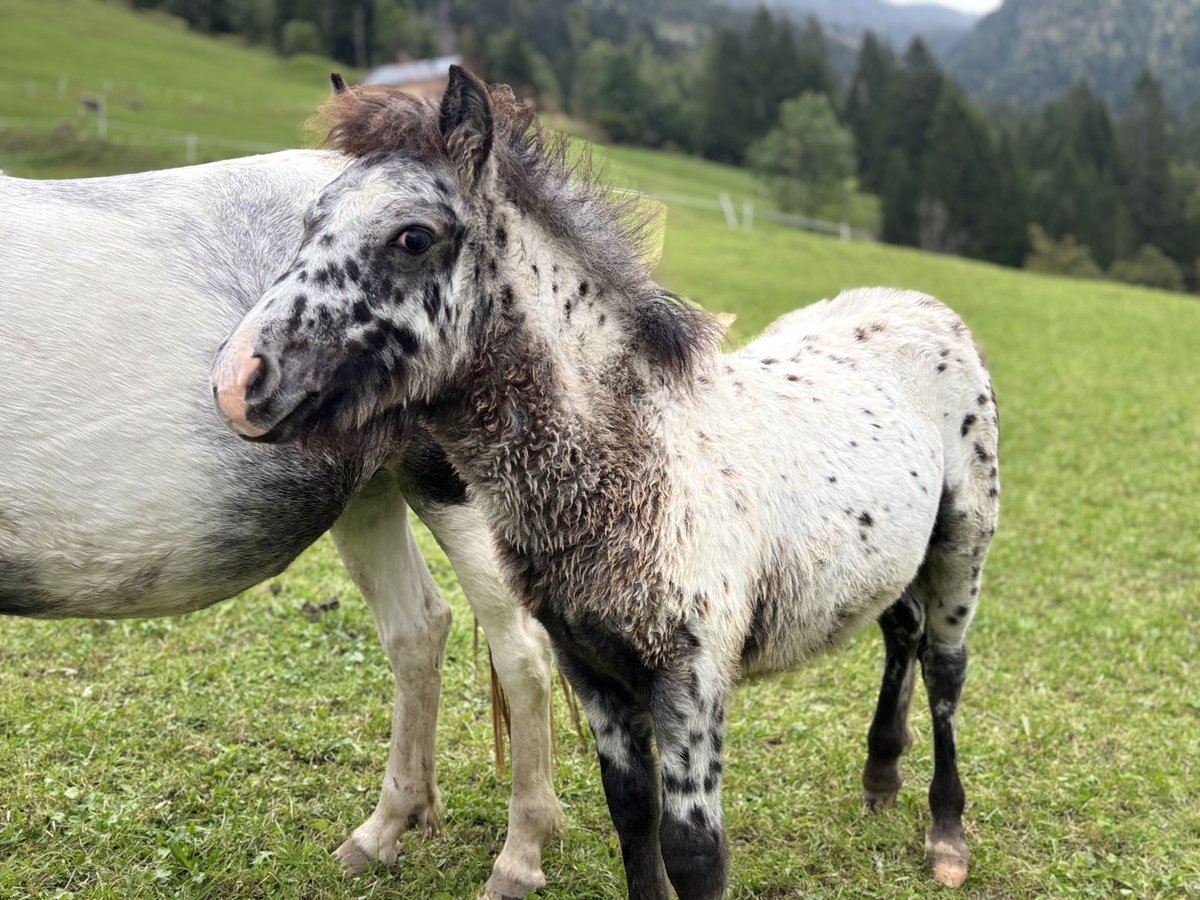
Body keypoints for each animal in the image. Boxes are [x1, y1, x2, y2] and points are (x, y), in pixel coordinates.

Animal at [0, 151, 561, 897]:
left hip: (456, 491)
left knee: (522, 652)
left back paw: (518, 858)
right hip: (369, 494)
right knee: (417, 631)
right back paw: (384, 830)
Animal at [213, 72, 993, 900]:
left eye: (413, 237)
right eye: (311, 218)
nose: (236, 381)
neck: (639, 460)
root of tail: (918, 302)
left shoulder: (692, 680)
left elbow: (695, 853)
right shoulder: (589, 666)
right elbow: (632, 816)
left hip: (964, 542)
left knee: (945, 667)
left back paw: (946, 836)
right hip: (891, 555)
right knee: (899, 629)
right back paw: (880, 779)